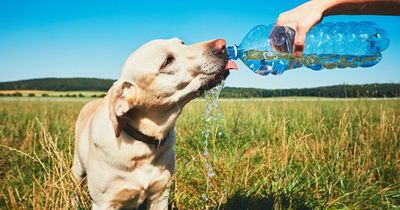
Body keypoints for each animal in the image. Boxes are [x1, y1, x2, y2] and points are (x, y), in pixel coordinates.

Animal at [72, 38, 236, 210]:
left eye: (182, 43)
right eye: (167, 61)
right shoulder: (104, 202)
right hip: (77, 167)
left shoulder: (160, 194)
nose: (222, 45)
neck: (142, 145)